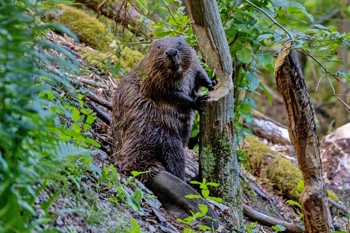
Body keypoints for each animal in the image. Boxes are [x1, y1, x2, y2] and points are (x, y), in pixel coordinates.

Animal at [111, 36, 216, 183]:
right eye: (159, 47)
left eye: (179, 43)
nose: (171, 52)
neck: (177, 74)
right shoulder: (152, 81)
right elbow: (172, 94)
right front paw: (199, 100)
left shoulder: (193, 63)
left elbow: (200, 73)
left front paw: (212, 83)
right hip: (163, 136)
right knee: (174, 158)